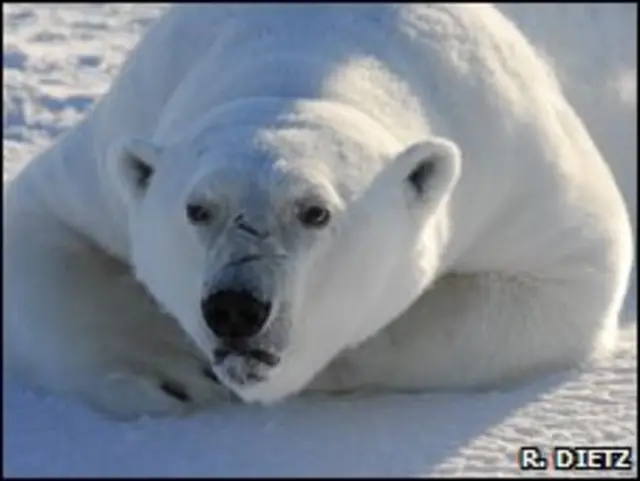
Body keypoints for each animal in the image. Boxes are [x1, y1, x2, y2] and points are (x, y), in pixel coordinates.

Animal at [3, 4, 633, 419]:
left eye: (315, 213)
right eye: (197, 209)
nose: (236, 308)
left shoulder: (509, 156)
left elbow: (573, 269)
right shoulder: (128, 125)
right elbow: (38, 223)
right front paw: (167, 373)